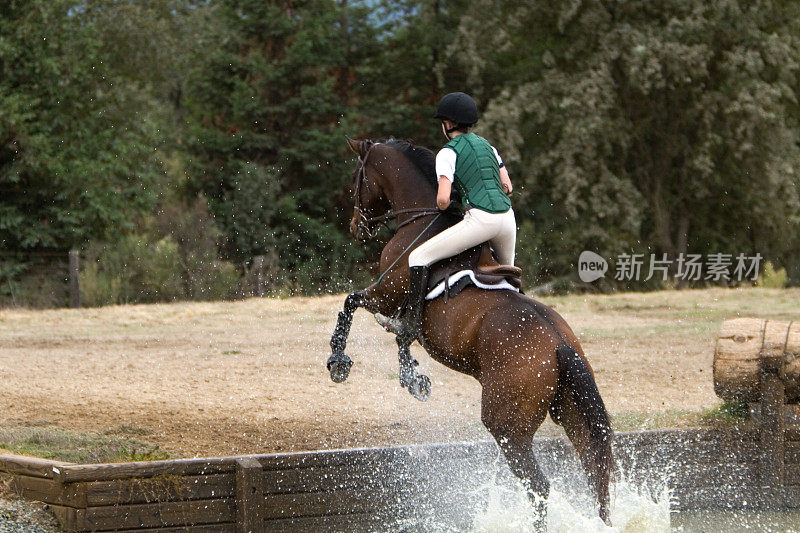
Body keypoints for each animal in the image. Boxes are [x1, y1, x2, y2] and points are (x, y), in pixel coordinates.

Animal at [328, 137, 616, 528]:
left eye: (356, 181)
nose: (357, 226)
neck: (421, 220)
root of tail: (558, 343)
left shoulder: (385, 295)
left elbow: (352, 304)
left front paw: (338, 361)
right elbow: (402, 336)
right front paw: (414, 379)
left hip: (508, 428)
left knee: (539, 486)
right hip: (571, 410)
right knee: (594, 471)